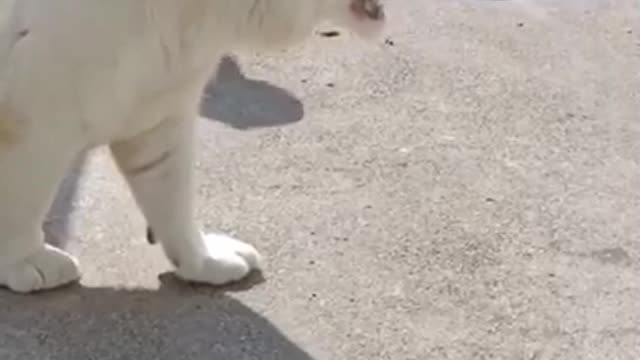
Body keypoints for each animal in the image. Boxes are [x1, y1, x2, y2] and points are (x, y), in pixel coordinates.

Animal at [0, 0, 382, 292]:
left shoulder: (158, 104)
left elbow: (171, 195)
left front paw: (205, 261)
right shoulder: (37, 107)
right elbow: (25, 194)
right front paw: (27, 260)